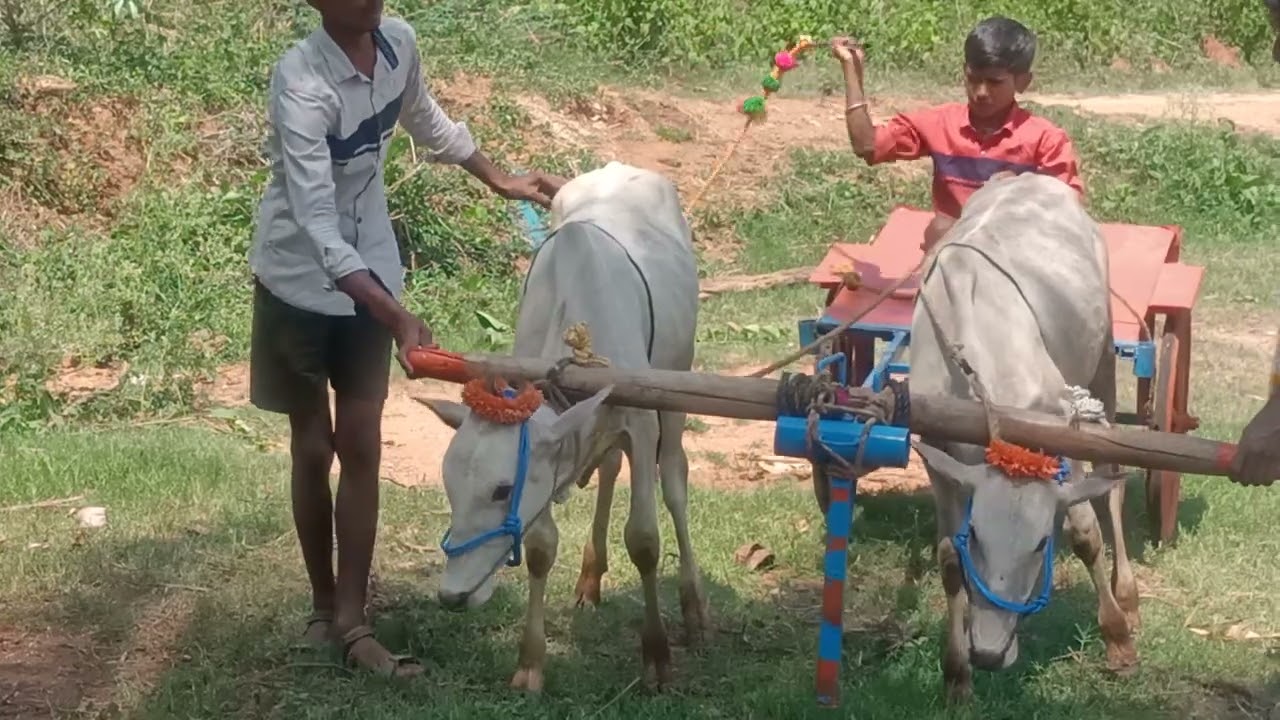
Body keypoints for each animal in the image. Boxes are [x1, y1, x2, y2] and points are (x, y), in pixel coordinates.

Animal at [420, 161, 709, 692]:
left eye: (501, 490)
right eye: (449, 487)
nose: (451, 596)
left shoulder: (641, 422)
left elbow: (644, 540)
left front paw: (657, 656)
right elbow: (539, 548)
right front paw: (531, 662)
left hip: (677, 379)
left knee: (675, 481)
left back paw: (694, 605)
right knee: (610, 467)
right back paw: (590, 578)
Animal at [907, 172, 1140, 701]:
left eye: (1039, 545)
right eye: (976, 538)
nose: (990, 655)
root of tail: (1027, 176)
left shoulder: (1060, 434)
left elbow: (1085, 532)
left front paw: (1117, 637)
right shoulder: (938, 459)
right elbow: (947, 557)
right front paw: (957, 674)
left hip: (1102, 361)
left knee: (1111, 481)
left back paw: (1128, 596)